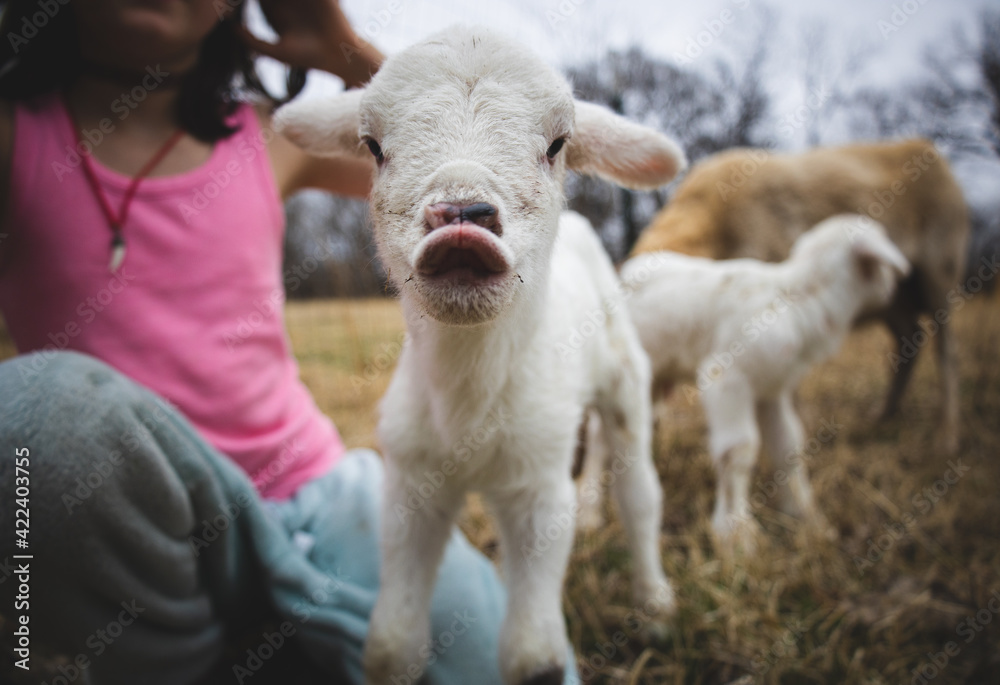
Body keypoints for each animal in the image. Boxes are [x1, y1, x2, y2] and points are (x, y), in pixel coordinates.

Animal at [274, 25, 688, 684]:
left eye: (558, 144)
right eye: (372, 146)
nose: (462, 220)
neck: (466, 395)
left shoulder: (539, 489)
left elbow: (534, 658)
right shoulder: (409, 483)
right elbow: (390, 644)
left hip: (626, 381)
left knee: (641, 493)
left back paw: (653, 604)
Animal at [608, 216, 916, 548]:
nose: (895, 286)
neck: (800, 301)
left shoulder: (772, 389)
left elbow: (788, 446)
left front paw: (806, 517)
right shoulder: (726, 379)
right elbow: (737, 450)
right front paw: (735, 533)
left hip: (653, 378)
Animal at [632, 139, 968, 454]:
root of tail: (927, 147)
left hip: (940, 272)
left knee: (947, 353)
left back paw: (947, 438)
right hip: (891, 299)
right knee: (911, 340)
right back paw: (882, 417)